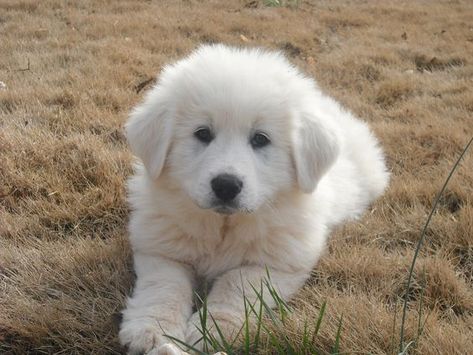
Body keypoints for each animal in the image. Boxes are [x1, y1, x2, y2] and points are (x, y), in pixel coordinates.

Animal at [118, 44, 388, 355]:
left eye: (260, 139)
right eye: (202, 133)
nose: (226, 185)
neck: (224, 225)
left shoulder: (277, 263)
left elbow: (237, 284)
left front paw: (213, 330)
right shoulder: (160, 249)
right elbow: (164, 286)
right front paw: (152, 330)